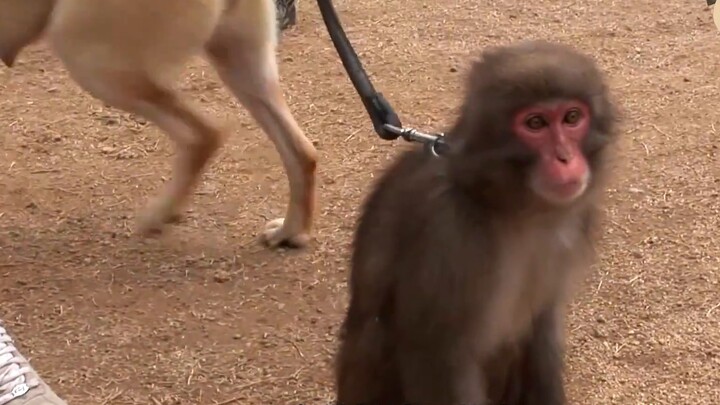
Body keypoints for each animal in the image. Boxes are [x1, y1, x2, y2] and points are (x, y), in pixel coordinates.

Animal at [0, 0, 316, 248]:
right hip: (241, 61)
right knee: (302, 152)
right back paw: (289, 232)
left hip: (90, 59)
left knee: (203, 136)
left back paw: (158, 216)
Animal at [334, 38, 620, 404]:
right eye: (536, 124)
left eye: (572, 117)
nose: (566, 158)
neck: (510, 205)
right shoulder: (449, 233)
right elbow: (438, 360)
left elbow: (541, 329)